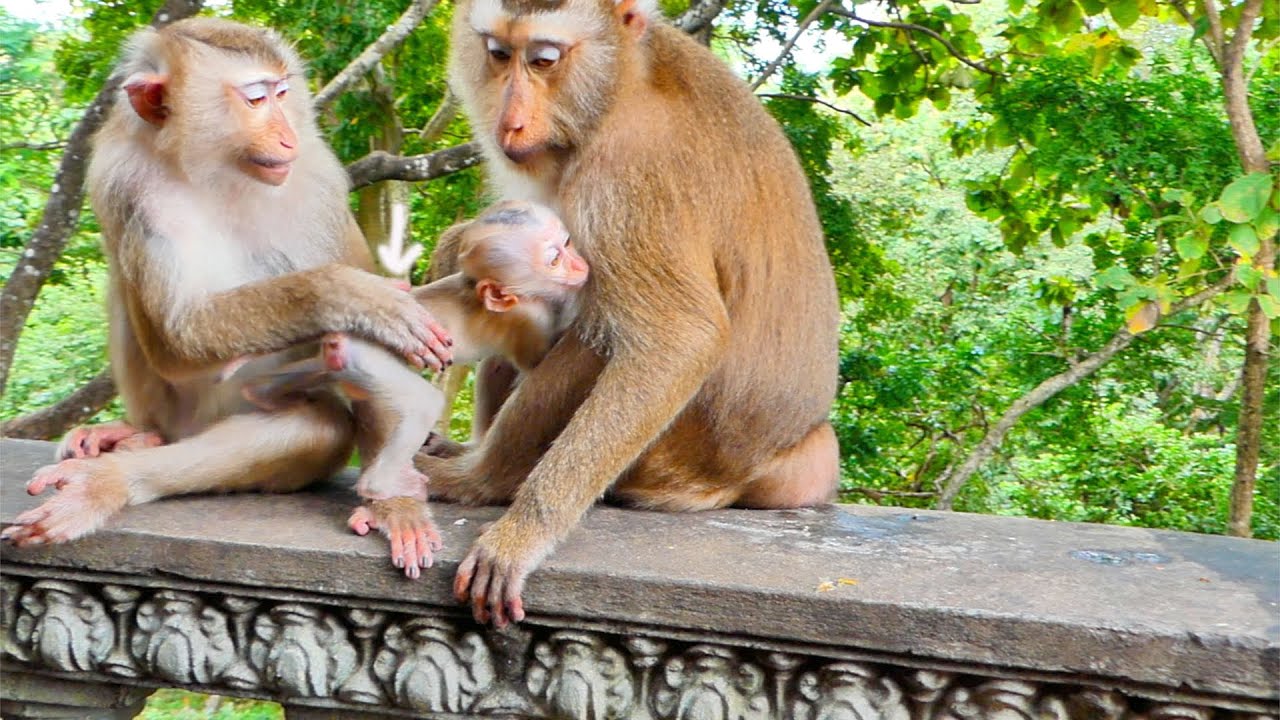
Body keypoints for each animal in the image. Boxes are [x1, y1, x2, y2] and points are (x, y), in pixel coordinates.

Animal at [1, 19, 454, 578]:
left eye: (282, 94)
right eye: (255, 98)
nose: (287, 134)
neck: (215, 170)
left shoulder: (318, 179)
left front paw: (395, 505)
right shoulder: (119, 176)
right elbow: (174, 339)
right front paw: (353, 294)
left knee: (317, 428)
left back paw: (113, 474)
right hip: (176, 414)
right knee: (130, 294)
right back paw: (130, 444)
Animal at [223, 200, 588, 570]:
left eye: (567, 243)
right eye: (554, 259)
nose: (579, 265)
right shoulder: (530, 318)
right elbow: (533, 360)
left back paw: (262, 389)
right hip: (372, 360)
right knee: (420, 404)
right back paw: (382, 487)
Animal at [415, 0, 843, 626]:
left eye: (544, 60)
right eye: (497, 53)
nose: (509, 121)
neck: (620, 87)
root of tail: (784, 461)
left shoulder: (627, 176)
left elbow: (682, 337)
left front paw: (523, 533)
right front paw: (456, 249)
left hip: (673, 459)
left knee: (600, 334)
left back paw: (484, 480)